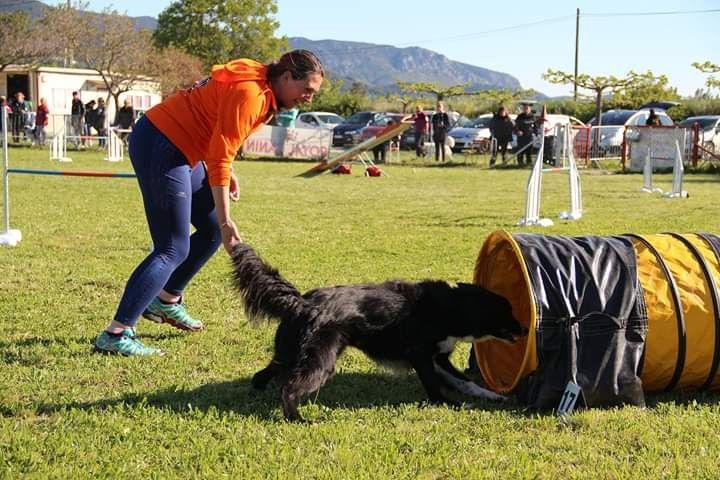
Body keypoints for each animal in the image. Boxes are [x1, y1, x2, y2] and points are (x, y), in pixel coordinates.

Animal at [231, 244, 524, 420]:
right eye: (508, 312)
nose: (524, 328)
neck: (453, 307)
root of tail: (301, 302)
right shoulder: (420, 355)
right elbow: (433, 384)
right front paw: (450, 404)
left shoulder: (439, 357)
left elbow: (466, 381)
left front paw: (493, 396)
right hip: (320, 360)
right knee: (289, 387)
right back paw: (297, 419)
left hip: (290, 351)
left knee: (266, 373)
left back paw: (257, 392)